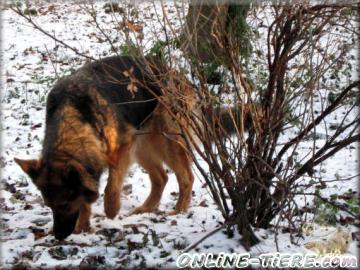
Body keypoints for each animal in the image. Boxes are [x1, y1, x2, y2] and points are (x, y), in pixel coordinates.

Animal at [15, 56, 200, 239]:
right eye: (49, 205)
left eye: (65, 204)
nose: (59, 236)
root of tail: (174, 72)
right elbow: (85, 198)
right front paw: (82, 226)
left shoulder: (123, 147)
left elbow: (111, 185)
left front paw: (111, 210)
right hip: (142, 148)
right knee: (161, 178)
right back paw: (146, 208)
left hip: (166, 141)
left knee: (186, 177)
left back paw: (179, 210)